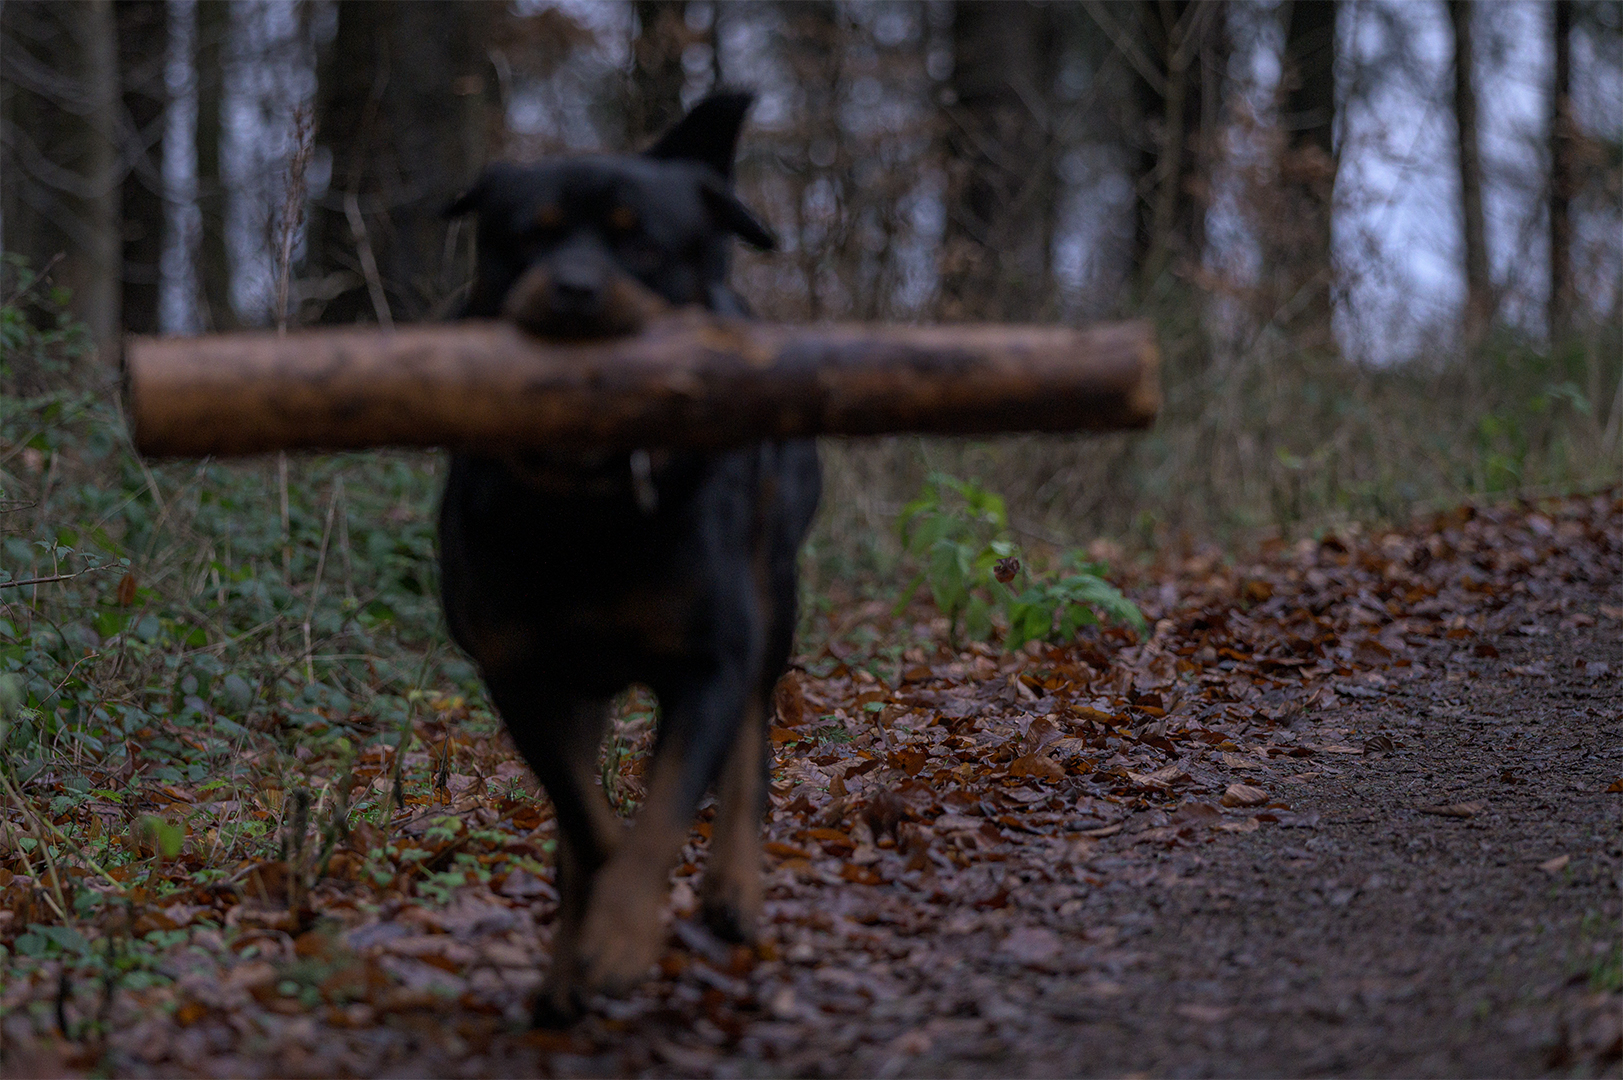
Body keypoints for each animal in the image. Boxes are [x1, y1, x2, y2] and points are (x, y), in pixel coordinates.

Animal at [438, 92, 817, 1019]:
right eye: (525, 238)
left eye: (642, 244)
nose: (573, 289)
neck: (587, 501)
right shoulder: (523, 671)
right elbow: (587, 823)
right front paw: (583, 946)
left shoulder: (707, 660)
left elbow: (661, 814)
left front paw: (617, 940)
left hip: (773, 590)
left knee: (749, 742)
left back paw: (732, 891)